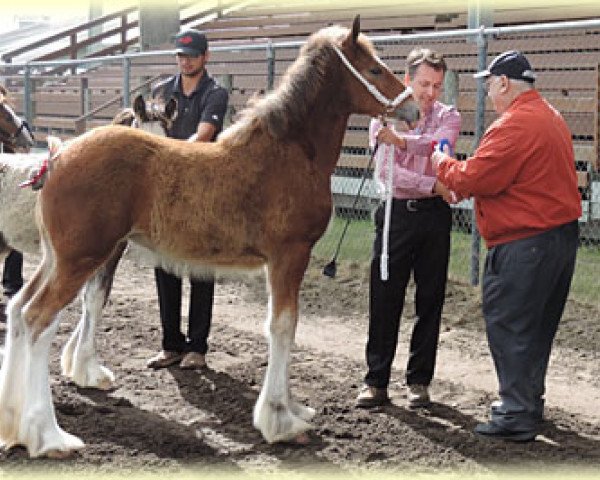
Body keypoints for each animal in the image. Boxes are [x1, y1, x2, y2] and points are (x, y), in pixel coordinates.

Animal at [0, 15, 420, 458]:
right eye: (374, 69)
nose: (413, 108)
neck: (288, 153)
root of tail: (57, 157)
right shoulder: (289, 255)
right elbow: (283, 326)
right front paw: (280, 421)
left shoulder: (283, 261)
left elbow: (285, 326)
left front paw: (293, 408)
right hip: (79, 259)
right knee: (38, 318)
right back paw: (48, 435)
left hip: (57, 258)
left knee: (19, 309)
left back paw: (14, 424)